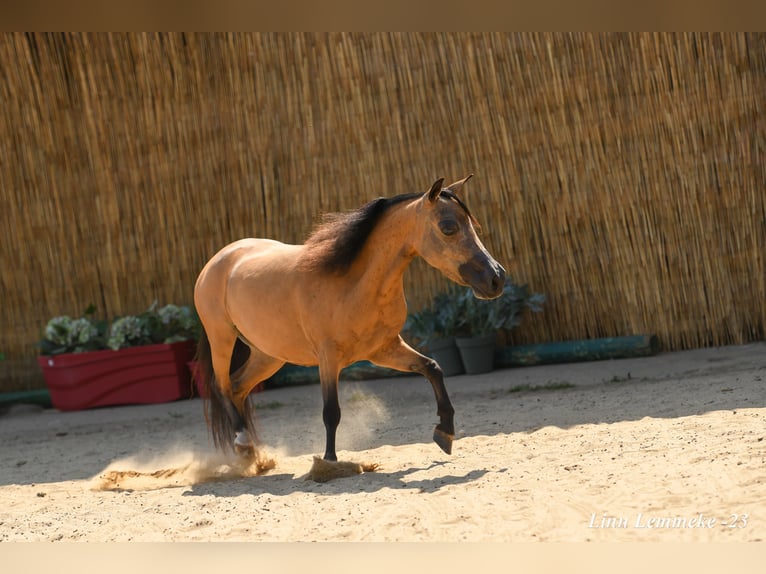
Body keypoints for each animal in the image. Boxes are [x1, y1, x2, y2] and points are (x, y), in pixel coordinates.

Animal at [192, 174, 508, 468]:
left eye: (473, 226)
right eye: (448, 227)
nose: (496, 278)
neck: (353, 284)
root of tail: (216, 262)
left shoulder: (383, 350)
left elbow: (433, 368)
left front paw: (445, 433)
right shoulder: (329, 358)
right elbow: (331, 411)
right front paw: (329, 462)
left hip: (268, 355)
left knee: (237, 388)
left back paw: (251, 453)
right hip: (222, 338)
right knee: (222, 386)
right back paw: (244, 444)